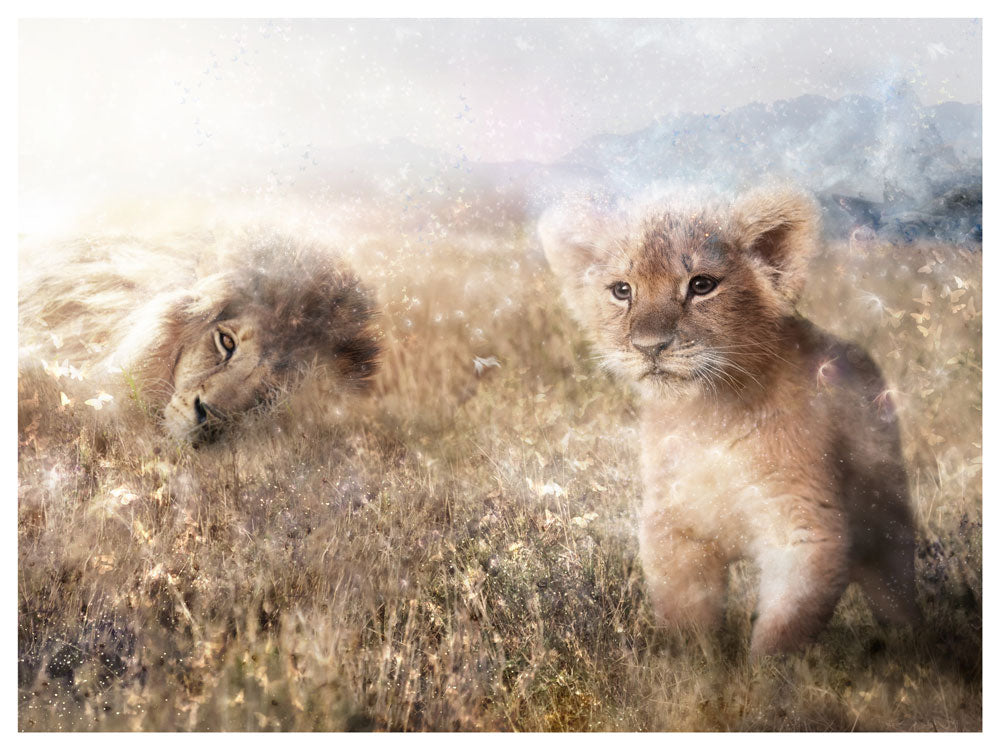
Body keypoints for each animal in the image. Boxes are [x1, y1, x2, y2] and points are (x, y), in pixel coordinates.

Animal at [540, 186, 917, 655]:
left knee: (895, 586)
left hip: (887, 514)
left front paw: (764, 672)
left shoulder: (803, 530)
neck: (711, 416)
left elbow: (782, 633)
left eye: (702, 285)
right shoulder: (673, 528)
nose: (649, 346)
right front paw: (699, 667)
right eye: (622, 290)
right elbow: (687, 622)